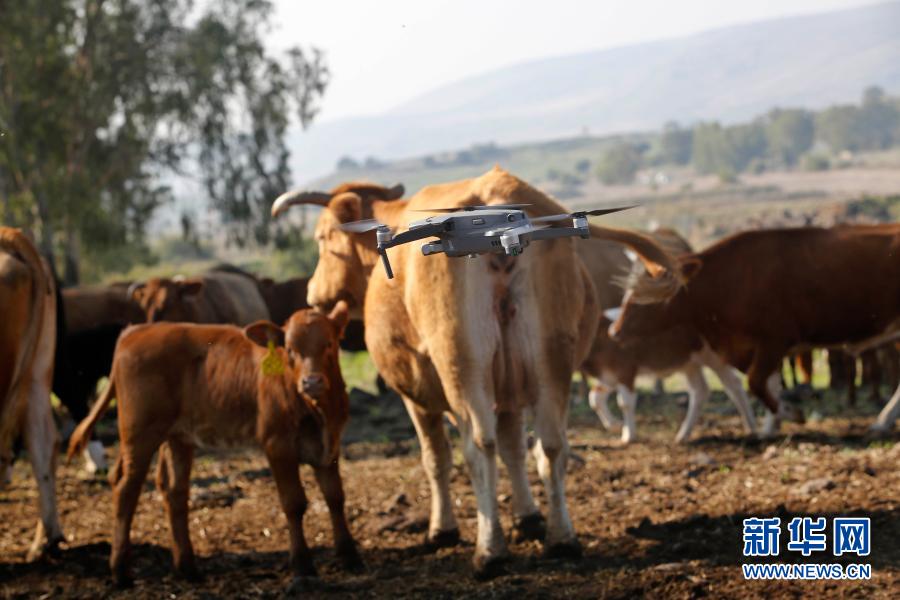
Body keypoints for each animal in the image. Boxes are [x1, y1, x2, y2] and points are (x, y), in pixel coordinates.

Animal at [67, 303, 360, 586]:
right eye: (290, 349)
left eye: (330, 343)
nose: (312, 382)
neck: (318, 411)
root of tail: (136, 331)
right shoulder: (277, 445)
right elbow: (294, 503)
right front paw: (302, 565)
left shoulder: (330, 447)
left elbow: (335, 496)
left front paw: (349, 556)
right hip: (140, 432)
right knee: (127, 486)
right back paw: (120, 571)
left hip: (177, 436)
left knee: (174, 490)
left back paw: (187, 568)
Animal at [271, 170, 672, 575]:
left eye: (323, 237)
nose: (313, 294)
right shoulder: (509, 392)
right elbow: (514, 448)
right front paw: (528, 518)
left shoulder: (416, 396)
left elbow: (437, 457)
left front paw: (443, 530)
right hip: (551, 360)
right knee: (551, 443)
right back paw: (561, 539)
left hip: (462, 364)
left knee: (480, 447)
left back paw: (489, 551)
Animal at [584, 229, 757, 443]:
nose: (614, 332)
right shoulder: (608, 375)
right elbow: (595, 397)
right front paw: (613, 425)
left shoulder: (625, 370)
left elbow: (625, 401)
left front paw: (629, 435)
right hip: (690, 362)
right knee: (700, 391)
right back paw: (683, 434)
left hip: (714, 357)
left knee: (734, 385)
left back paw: (751, 427)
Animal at [608, 224, 900, 435]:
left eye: (644, 297)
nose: (615, 331)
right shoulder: (757, 347)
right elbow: (769, 383)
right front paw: (772, 426)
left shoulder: (775, 341)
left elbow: (757, 382)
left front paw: (788, 414)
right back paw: (882, 421)